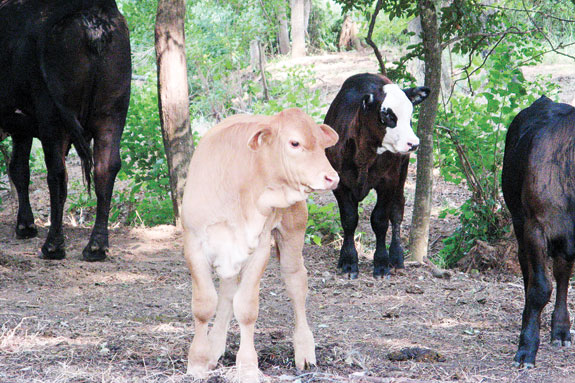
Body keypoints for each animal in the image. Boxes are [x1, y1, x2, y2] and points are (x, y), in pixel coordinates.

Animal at [0, 0, 132, 260]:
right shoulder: (22, 128)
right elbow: (19, 169)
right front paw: (25, 225)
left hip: (53, 116)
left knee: (58, 173)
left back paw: (53, 245)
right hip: (113, 112)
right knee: (106, 167)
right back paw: (96, 246)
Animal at [182, 107, 340, 380]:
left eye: (322, 144)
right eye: (294, 143)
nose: (332, 177)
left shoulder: (260, 249)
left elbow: (246, 309)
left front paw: (247, 366)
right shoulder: (194, 244)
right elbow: (204, 305)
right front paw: (199, 361)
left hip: (293, 231)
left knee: (296, 283)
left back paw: (305, 350)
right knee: (226, 293)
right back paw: (215, 346)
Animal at [326, 73, 430, 280]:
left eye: (410, 115)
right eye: (387, 114)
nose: (413, 143)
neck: (363, 156)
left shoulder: (388, 182)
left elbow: (380, 220)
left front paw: (382, 264)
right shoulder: (340, 183)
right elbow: (349, 219)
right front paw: (348, 261)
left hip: (402, 171)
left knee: (397, 211)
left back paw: (396, 258)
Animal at [502, 96, 575, 368]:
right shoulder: (536, 226)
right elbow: (540, 288)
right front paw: (526, 349)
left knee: (563, 273)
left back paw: (561, 330)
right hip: (519, 220)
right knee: (527, 269)